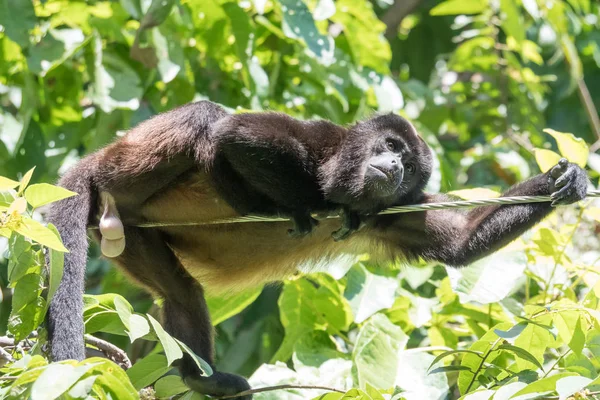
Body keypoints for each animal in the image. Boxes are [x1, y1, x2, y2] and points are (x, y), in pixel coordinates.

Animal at [45, 101, 584, 400]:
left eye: (409, 167)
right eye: (392, 147)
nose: (394, 165)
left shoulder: (394, 208)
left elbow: (457, 244)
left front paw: (564, 183)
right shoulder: (324, 140)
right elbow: (235, 134)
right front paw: (308, 203)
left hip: (133, 239)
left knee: (180, 292)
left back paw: (203, 380)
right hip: (122, 167)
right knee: (208, 119)